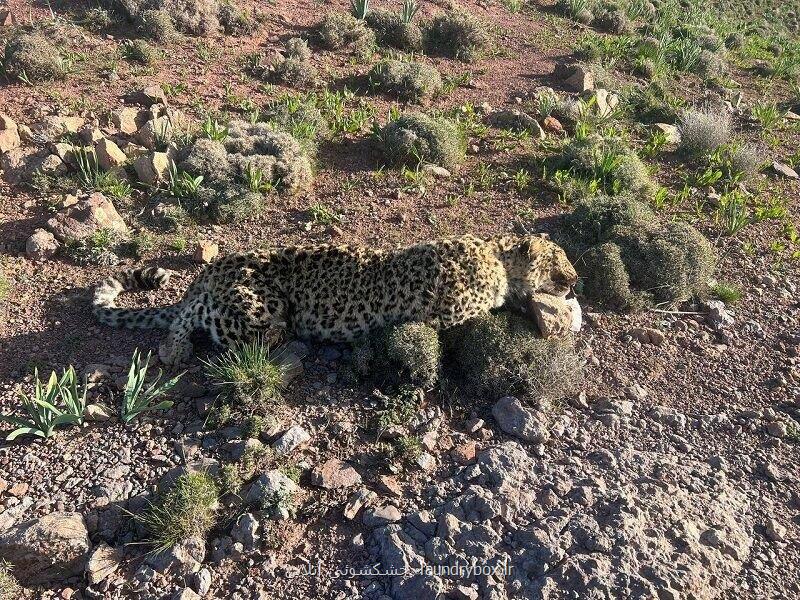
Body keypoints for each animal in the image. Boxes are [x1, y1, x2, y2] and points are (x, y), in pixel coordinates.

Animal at [94, 234, 576, 366]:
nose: (574, 280)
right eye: (560, 258)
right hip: (261, 307)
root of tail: (215, 267)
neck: (496, 256)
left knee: (190, 314)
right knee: (199, 314)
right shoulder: (449, 318)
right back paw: (174, 349)